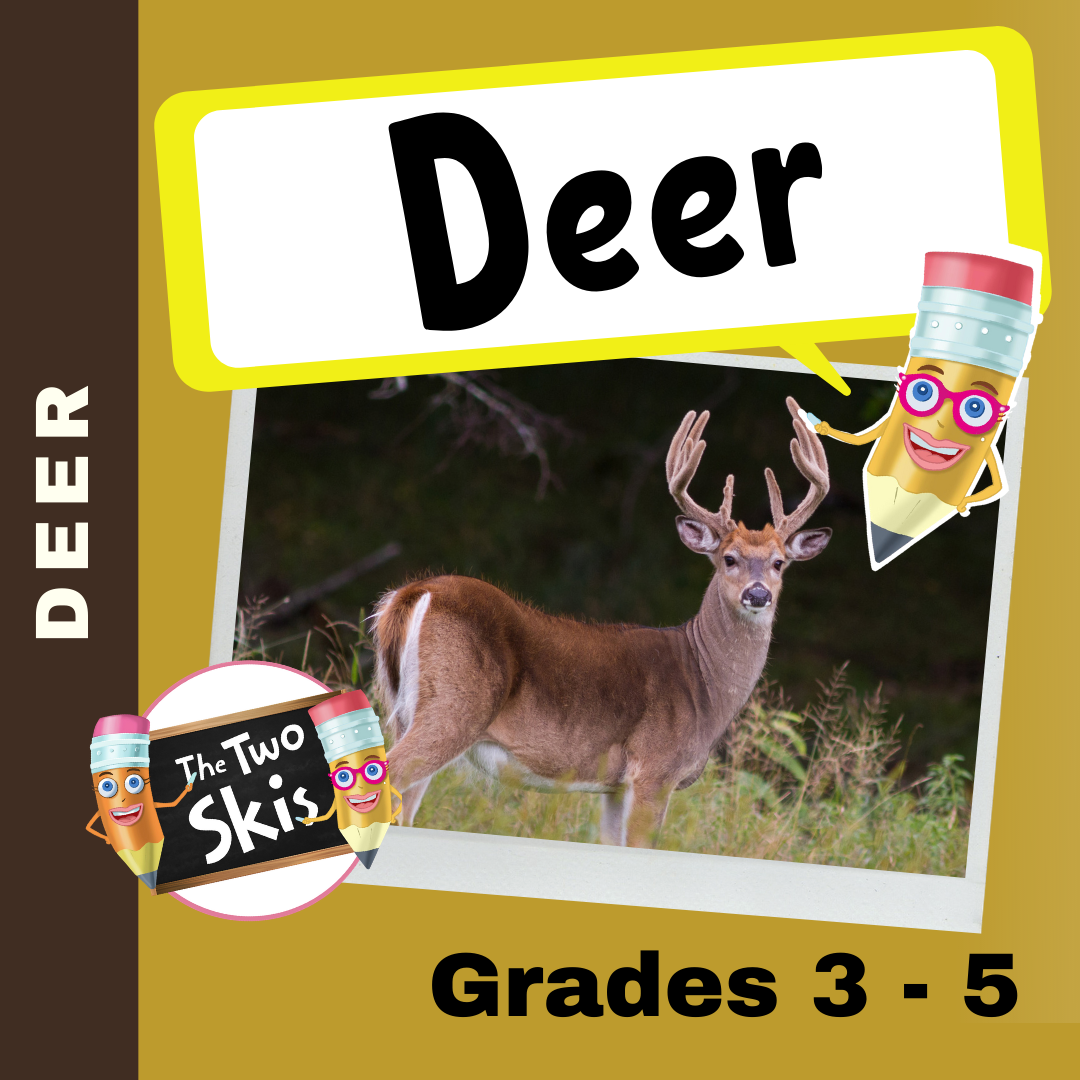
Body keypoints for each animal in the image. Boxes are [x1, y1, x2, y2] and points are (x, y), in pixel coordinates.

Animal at [371, 396, 831, 847]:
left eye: (779, 562)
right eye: (729, 558)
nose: (758, 594)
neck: (704, 684)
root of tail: (416, 591)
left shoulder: (615, 786)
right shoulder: (655, 770)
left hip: (403, 712)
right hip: (453, 708)